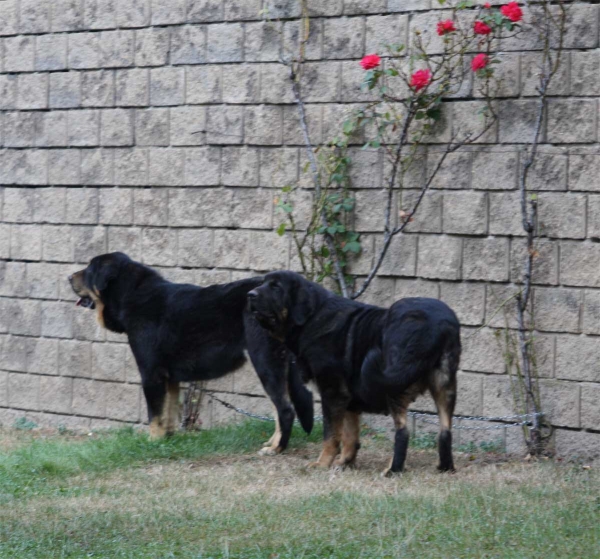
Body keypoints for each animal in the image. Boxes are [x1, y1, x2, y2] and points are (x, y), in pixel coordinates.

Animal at [69, 252, 314, 452]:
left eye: (89, 269)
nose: (69, 278)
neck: (133, 295)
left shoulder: (151, 374)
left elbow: (154, 415)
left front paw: (152, 443)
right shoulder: (170, 378)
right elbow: (168, 411)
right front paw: (167, 440)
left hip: (265, 362)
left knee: (284, 409)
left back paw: (277, 448)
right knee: (282, 407)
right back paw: (272, 442)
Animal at [246, 274, 462, 474]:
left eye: (276, 287)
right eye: (262, 283)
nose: (250, 294)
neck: (312, 319)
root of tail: (436, 326)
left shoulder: (332, 392)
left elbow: (331, 434)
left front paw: (322, 464)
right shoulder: (348, 399)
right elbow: (350, 435)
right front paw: (344, 462)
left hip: (393, 385)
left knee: (403, 432)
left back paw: (392, 470)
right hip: (445, 386)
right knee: (445, 431)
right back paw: (445, 467)